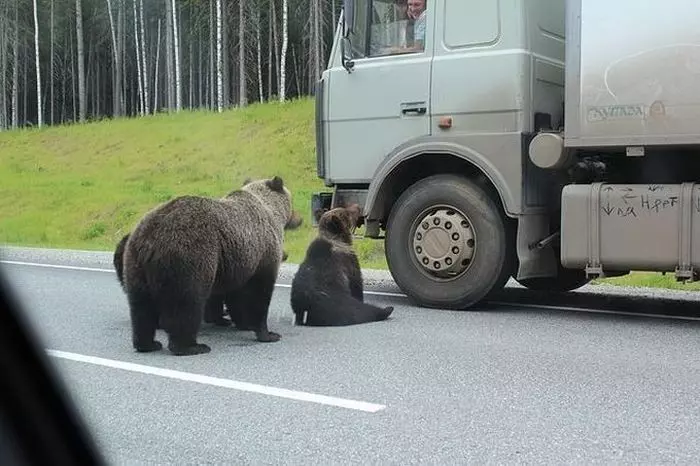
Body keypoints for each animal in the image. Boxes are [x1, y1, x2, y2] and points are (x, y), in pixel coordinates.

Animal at [118, 177, 304, 354]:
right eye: (292, 200)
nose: (299, 218)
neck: (270, 211)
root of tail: (151, 238)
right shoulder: (262, 252)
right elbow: (259, 293)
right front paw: (268, 334)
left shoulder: (239, 259)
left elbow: (236, 295)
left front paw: (243, 322)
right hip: (191, 255)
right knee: (187, 303)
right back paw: (191, 347)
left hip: (135, 264)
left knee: (141, 307)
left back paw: (148, 344)